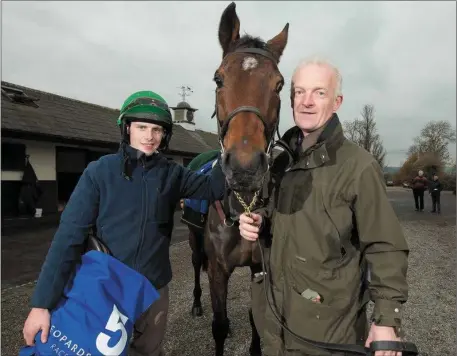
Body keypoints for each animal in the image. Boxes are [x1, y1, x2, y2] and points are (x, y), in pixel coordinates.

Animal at [185, 2, 288, 356]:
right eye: (219, 78)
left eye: (279, 84)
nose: (244, 168)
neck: (240, 205)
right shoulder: (218, 270)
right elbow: (218, 324)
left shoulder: (259, 266)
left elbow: (255, 318)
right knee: (195, 266)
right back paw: (196, 304)